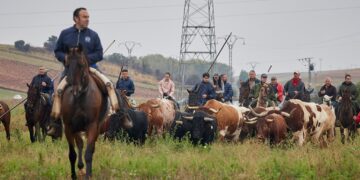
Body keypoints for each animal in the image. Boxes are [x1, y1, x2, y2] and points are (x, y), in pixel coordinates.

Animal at [54, 47, 109, 179]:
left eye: (81, 64)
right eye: (67, 64)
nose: (75, 90)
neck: (79, 98)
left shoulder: (92, 126)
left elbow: (89, 152)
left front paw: (88, 175)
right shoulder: (69, 127)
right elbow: (72, 153)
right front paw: (74, 175)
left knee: (90, 148)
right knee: (79, 144)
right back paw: (80, 166)